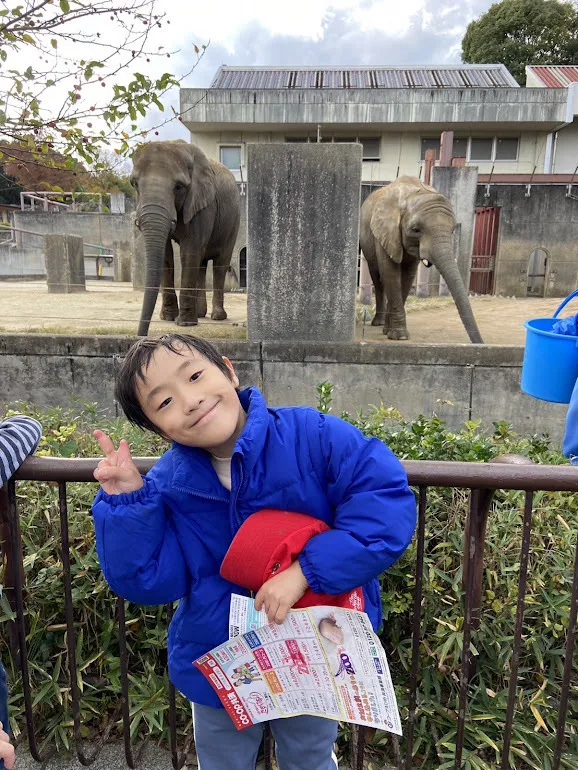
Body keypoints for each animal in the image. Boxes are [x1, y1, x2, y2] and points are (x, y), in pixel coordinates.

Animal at [130, 140, 238, 336]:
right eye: (134, 184)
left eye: (179, 186)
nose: (141, 335)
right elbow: (166, 256)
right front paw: (168, 318)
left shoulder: (202, 206)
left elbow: (189, 253)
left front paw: (185, 324)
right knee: (201, 264)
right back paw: (201, 314)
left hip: (233, 222)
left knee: (219, 265)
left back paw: (217, 317)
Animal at [360, 176, 482, 344]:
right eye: (416, 230)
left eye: (452, 230)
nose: (481, 343)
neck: (413, 193)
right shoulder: (385, 232)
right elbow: (390, 273)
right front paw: (400, 336)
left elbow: (407, 276)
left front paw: (391, 332)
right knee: (378, 278)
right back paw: (378, 323)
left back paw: (384, 326)